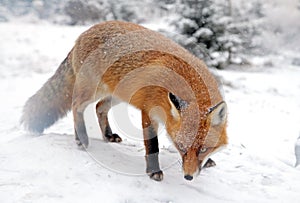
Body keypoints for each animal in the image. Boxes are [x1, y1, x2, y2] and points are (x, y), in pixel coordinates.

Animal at [21, 20, 227, 182]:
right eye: (181, 147)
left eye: (203, 148)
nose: (189, 177)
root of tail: (84, 33)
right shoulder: (148, 111)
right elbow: (152, 145)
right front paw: (154, 171)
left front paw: (207, 161)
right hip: (92, 90)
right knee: (76, 106)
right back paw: (81, 139)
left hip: (117, 95)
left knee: (99, 108)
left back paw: (108, 135)